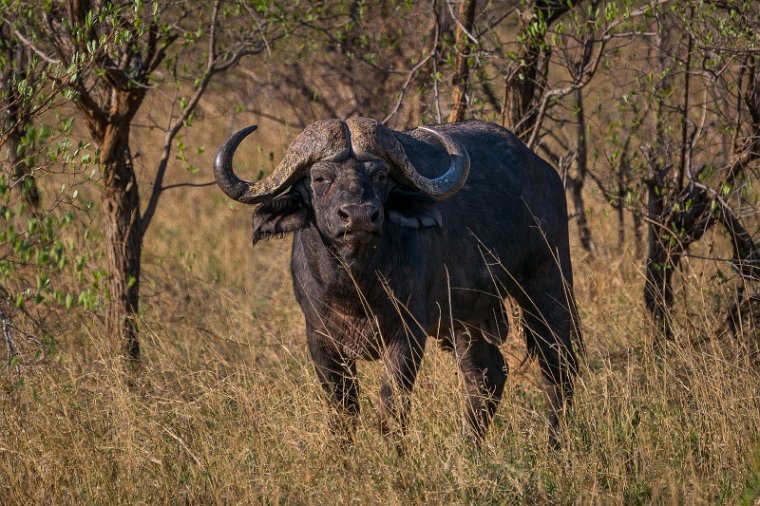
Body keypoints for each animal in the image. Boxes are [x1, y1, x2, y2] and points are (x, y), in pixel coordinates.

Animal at [214, 117, 580, 442]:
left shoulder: (407, 334)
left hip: (547, 283)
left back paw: (554, 446)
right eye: (319, 177)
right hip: (466, 318)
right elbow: (343, 413)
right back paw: (469, 448)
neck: (355, 287)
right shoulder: (320, 339)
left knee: (558, 366)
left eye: (379, 175)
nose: (359, 215)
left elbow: (390, 408)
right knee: (486, 374)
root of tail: (542, 170)